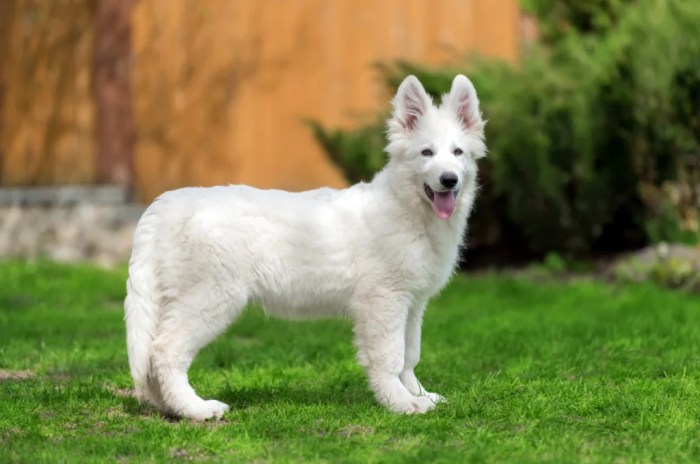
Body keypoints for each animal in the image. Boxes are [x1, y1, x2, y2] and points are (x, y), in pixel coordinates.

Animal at [124, 73, 486, 420]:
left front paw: (419, 394)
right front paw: (400, 402)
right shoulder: (384, 300)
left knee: (152, 358)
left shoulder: (413, 302)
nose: (449, 180)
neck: (407, 208)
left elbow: (410, 354)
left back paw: (170, 407)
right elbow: (390, 357)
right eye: (426, 153)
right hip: (211, 298)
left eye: (457, 153)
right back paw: (195, 409)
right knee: (165, 351)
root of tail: (168, 202)